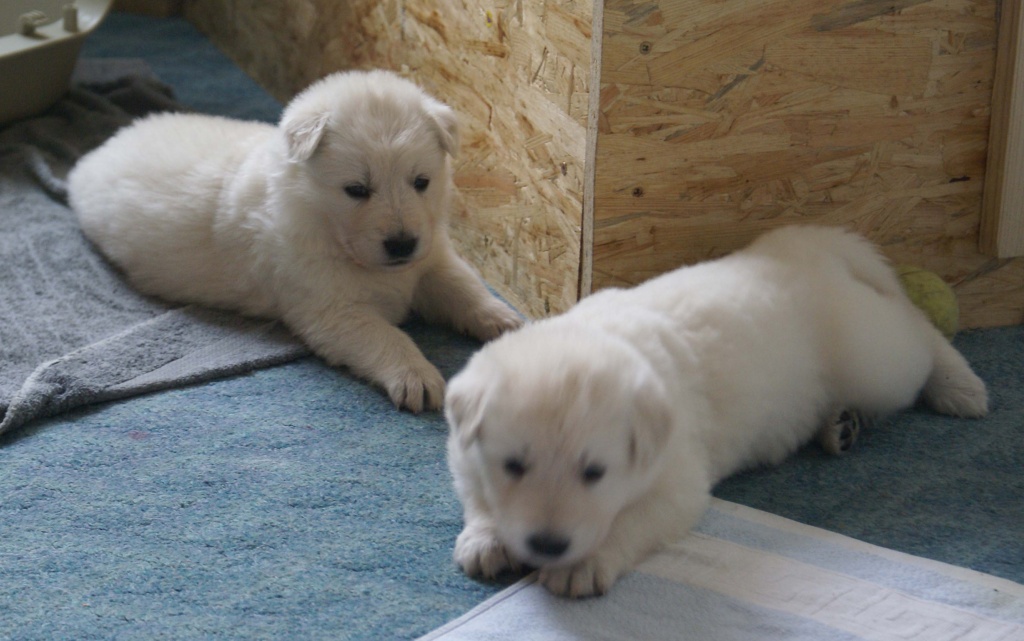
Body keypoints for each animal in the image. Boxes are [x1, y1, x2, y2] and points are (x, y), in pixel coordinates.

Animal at [67, 69, 520, 409]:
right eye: (357, 189)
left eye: (421, 182)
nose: (402, 244)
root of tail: (98, 152)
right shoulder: (332, 308)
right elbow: (386, 336)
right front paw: (416, 376)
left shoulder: (431, 259)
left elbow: (462, 287)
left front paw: (503, 320)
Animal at [444, 224, 987, 593]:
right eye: (514, 465)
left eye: (594, 473)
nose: (548, 546)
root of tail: (804, 244)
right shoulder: (464, 447)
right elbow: (477, 493)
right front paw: (486, 539)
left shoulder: (678, 484)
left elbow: (629, 521)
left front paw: (580, 565)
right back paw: (841, 425)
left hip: (873, 356)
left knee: (916, 329)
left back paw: (960, 386)